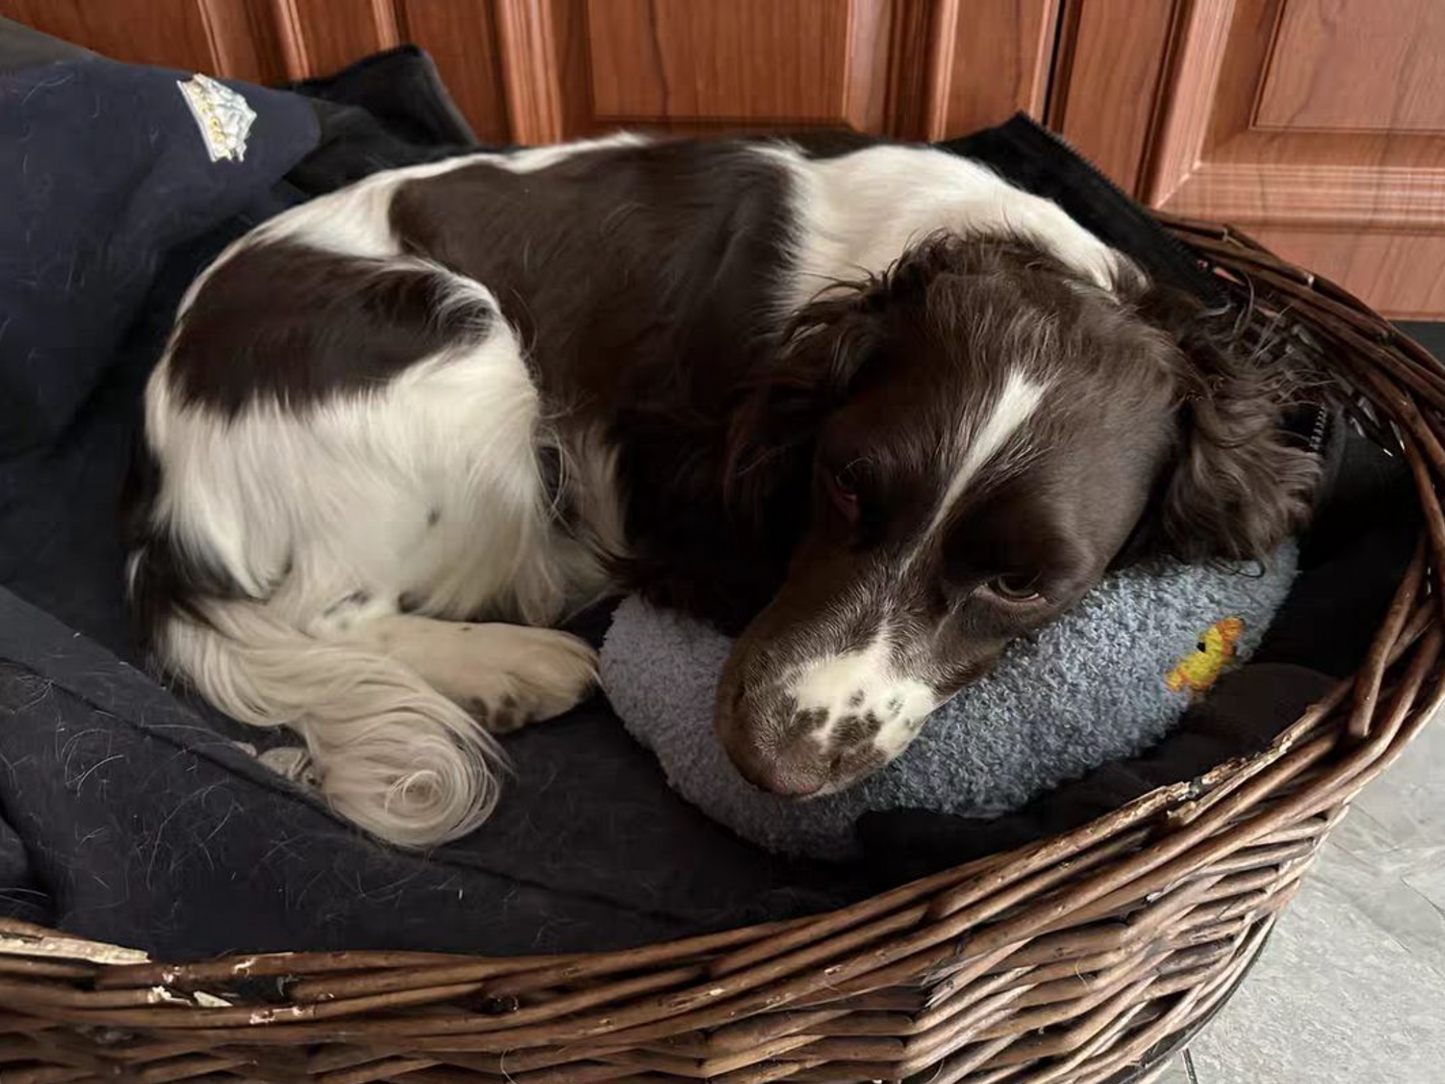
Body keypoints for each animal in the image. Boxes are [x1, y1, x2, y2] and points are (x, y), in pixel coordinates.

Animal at [127, 133, 1323, 849]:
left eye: (1023, 583)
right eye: (842, 482)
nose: (770, 761)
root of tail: (166, 498)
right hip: (458, 341)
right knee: (335, 617)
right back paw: (519, 666)